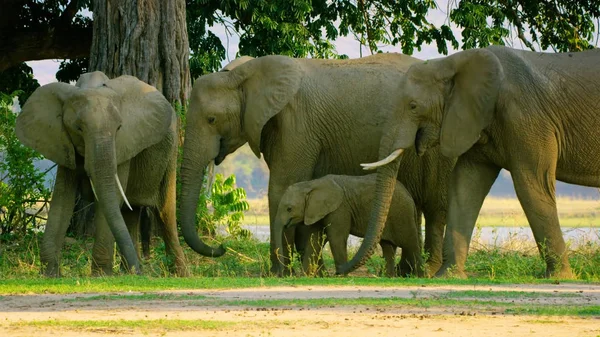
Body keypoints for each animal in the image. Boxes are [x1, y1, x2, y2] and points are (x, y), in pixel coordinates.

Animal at [16, 71, 189, 276]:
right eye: (78, 128)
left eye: (119, 128)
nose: (141, 271)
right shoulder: (62, 142)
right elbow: (62, 199)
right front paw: (50, 275)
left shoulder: (124, 143)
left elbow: (109, 196)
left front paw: (101, 275)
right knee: (130, 212)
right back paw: (130, 272)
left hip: (172, 153)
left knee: (165, 213)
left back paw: (178, 275)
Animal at [274, 173, 424, 276]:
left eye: (289, 209)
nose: (281, 273)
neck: (311, 185)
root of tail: (409, 195)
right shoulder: (315, 210)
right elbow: (314, 238)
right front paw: (307, 276)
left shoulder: (340, 209)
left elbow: (336, 238)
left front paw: (340, 275)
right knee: (387, 246)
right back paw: (388, 277)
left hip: (402, 213)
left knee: (410, 243)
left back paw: (419, 276)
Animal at [340, 45, 600, 278]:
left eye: (413, 106)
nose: (339, 271)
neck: (451, 62)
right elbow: (465, 186)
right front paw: (448, 276)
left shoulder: (526, 118)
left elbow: (532, 185)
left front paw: (559, 277)